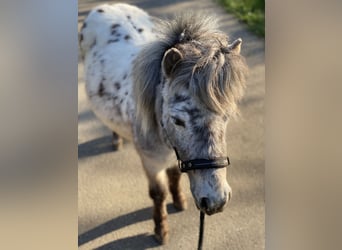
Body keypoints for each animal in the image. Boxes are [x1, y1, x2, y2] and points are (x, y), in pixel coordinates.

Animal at [79, 2, 247, 244]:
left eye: (226, 117)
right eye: (177, 120)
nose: (216, 201)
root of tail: (108, 5)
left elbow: (174, 177)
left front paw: (179, 201)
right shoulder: (151, 161)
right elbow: (158, 194)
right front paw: (161, 230)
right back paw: (116, 140)